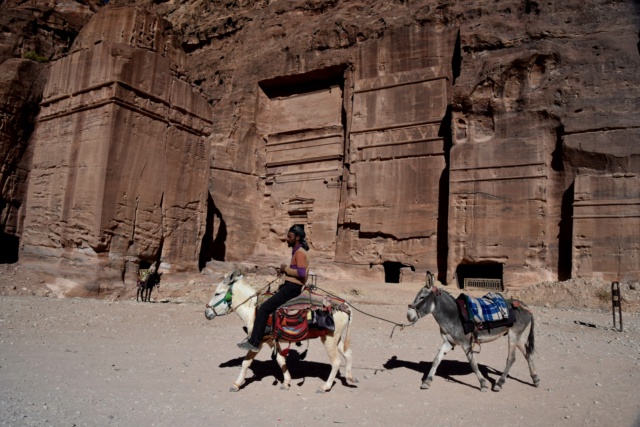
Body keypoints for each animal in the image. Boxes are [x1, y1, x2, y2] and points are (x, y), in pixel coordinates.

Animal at [205, 270, 358, 394]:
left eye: (217, 293)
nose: (206, 313)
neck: (252, 309)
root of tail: (344, 305)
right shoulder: (271, 340)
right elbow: (280, 359)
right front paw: (286, 382)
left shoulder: (258, 341)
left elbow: (246, 362)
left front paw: (236, 384)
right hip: (335, 338)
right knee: (348, 354)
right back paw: (350, 377)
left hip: (329, 339)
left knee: (336, 362)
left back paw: (324, 387)